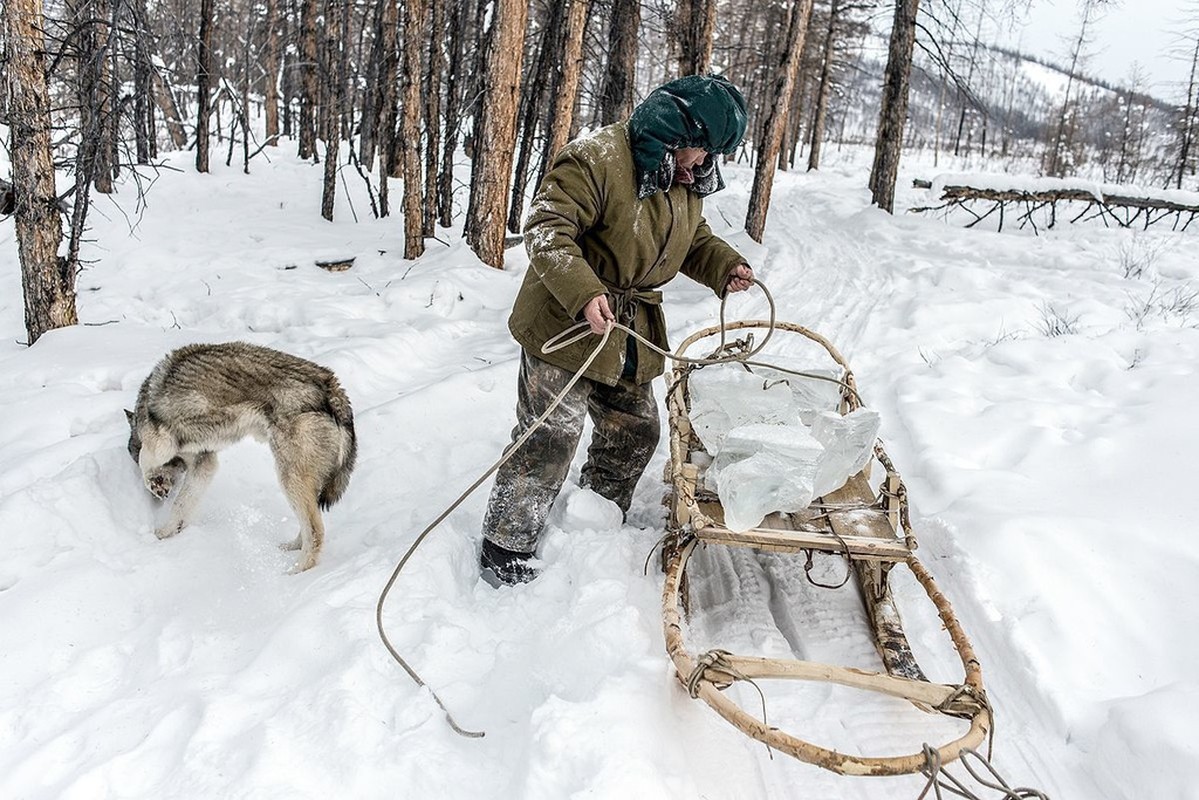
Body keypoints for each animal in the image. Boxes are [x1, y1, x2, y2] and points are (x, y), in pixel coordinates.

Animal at [130, 340, 357, 573]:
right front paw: (169, 531)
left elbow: (146, 461)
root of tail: (333, 387)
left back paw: (296, 571)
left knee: (315, 530)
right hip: (301, 483)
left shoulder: (159, 442)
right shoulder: (205, 464)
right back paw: (291, 548)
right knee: (308, 526)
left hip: (289, 478)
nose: (159, 493)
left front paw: (154, 483)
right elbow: (182, 503)